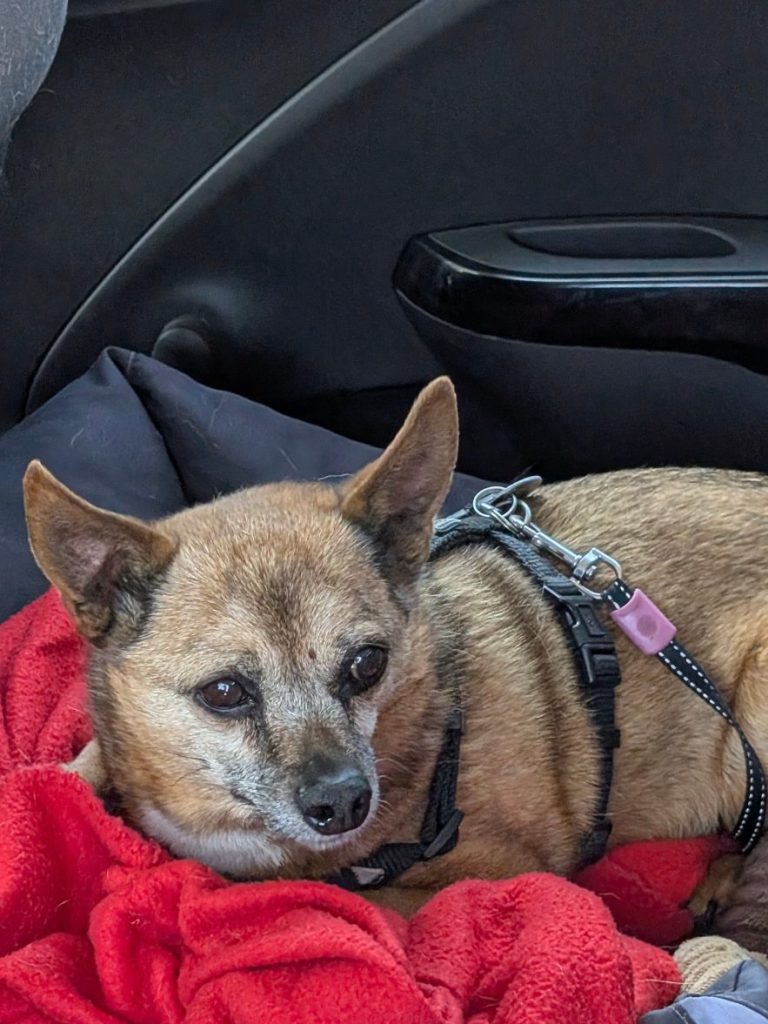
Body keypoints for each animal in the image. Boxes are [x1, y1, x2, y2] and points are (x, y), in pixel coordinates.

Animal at [22, 378, 768, 917]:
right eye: (224, 692)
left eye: (367, 664)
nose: (344, 803)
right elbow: (76, 770)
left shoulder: (497, 873)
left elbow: (348, 901)